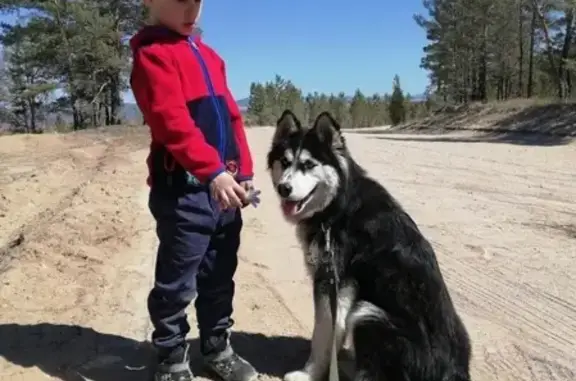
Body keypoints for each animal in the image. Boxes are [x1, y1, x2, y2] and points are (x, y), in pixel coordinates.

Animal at [268, 110, 470, 380]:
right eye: (284, 161)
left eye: (309, 165)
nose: (284, 188)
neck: (338, 207)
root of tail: (451, 372)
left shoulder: (335, 282)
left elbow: (322, 336)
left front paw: (309, 373)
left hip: (368, 314)